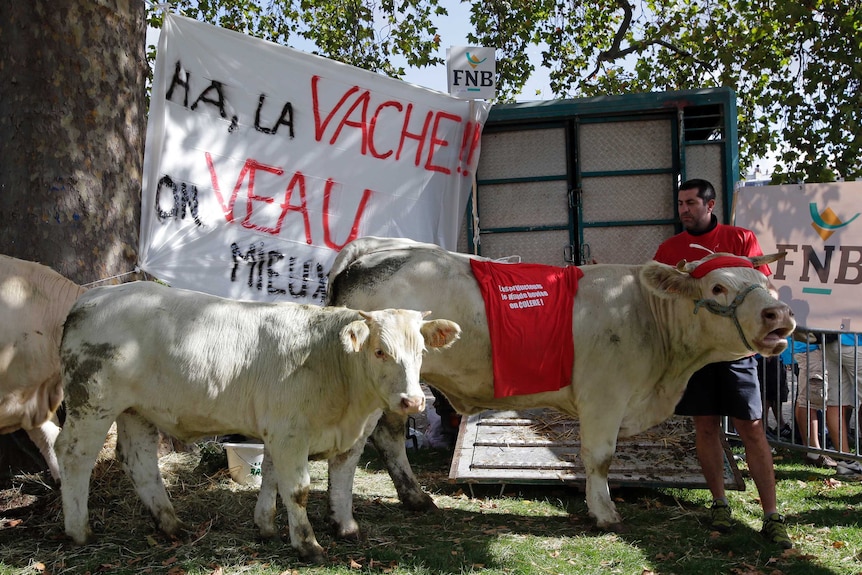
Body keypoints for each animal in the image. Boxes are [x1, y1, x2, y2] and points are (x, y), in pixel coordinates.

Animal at [56, 282, 462, 564]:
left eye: (421, 352)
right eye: (379, 351)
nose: (412, 401)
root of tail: (91, 298)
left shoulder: (341, 435)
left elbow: (322, 480)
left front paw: (338, 527)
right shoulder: (289, 432)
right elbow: (296, 489)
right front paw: (307, 544)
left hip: (136, 410)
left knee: (139, 462)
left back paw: (172, 525)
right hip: (92, 404)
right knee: (73, 455)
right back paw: (79, 531)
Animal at [318, 237, 796, 536]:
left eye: (766, 283)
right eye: (718, 287)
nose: (779, 314)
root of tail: (369, 253)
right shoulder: (604, 395)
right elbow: (599, 459)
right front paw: (604, 513)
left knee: (389, 438)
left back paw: (415, 499)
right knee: (356, 447)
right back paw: (355, 520)